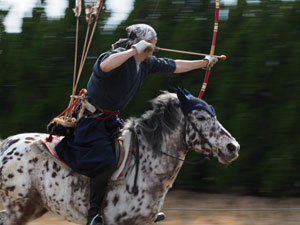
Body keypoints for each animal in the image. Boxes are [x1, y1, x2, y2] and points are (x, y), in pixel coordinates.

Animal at [0, 89, 239, 225]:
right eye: (201, 117)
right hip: (18, 208)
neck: (147, 168)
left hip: (32, 207)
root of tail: (6, 145)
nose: (232, 147)